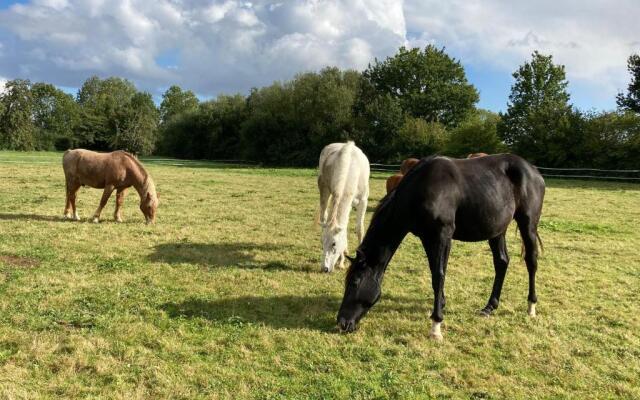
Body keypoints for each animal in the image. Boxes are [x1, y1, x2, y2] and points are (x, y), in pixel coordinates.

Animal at [316, 141, 370, 272]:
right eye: (321, 242)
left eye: (334, 243)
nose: (324, 268)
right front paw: (341, 261)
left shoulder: (363, 201)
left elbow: (359, 228)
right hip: (324, 189)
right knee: (324, 215)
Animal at [336, 155, 544, 340]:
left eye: (354, 282)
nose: (342, 322)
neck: (420, 189)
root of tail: (533, 171)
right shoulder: (427, 238)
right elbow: (434, 273)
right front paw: (441, 305)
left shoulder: (442, 236)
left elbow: (439, 275)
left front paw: (436, 326)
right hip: (496, 230)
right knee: (501, 262)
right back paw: (490, 307)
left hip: (528, 225)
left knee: (531, 261)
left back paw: (531, 306)